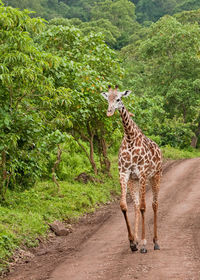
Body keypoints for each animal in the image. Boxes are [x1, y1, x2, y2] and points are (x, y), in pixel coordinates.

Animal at [101, 85, 162, 254]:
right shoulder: (124, 173)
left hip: (156, 175)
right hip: (133, 181)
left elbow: (143, 207)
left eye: (118, 99)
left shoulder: (142, 174)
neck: (129, 138)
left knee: (154, 204)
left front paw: (143, 244)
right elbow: (124, 205)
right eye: (107, 98)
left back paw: (155, 242)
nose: (109, 111)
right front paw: (133, 242)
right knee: (135, 205)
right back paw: (137, 240)